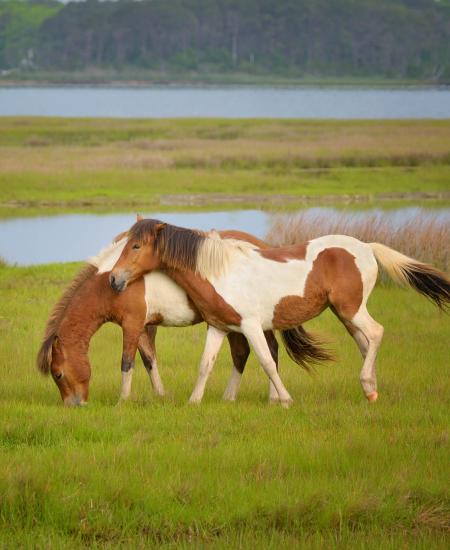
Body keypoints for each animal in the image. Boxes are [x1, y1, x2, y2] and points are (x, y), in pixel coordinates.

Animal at [37, 229, 280, 406]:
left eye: (58, 374)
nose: (74, 405)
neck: (107, 284)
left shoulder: (131, 325)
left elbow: (127, 362)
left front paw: (122, 401)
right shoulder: (142, 327)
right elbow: (149, 360)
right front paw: (161, 395)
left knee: (268, 350)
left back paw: (273, 398)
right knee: (243, 353)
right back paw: (231, 398)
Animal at [110, 221, 450, 410]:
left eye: (136, 245)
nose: (114, 279)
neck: (221, 271)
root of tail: (365, 247)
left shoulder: (250, 326)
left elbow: (267, 361)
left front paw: (285, 400)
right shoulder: (219, 327)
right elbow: (205, 364)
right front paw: (194, 402)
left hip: (351, 309)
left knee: (376, 332)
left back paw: (367, 383)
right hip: (346, 315)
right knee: (365, 343)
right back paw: (371, 393)